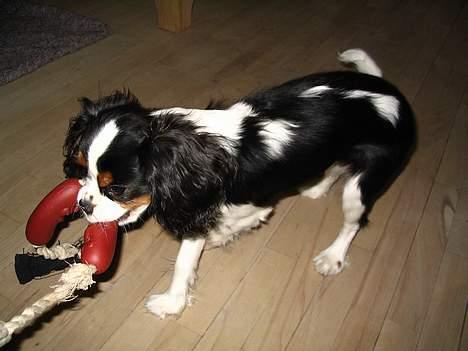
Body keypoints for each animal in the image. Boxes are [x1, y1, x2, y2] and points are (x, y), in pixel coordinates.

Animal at [63, 49, 416, 320]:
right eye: (81, 170)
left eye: (116, 189)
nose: (82, 204)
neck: (194, 144)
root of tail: (392, 91)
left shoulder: (243, 205)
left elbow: (189, 254)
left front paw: (172, 302)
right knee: (335, 168)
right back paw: (316, 188)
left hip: (362, 185)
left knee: (354, 221)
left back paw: (333, 257)